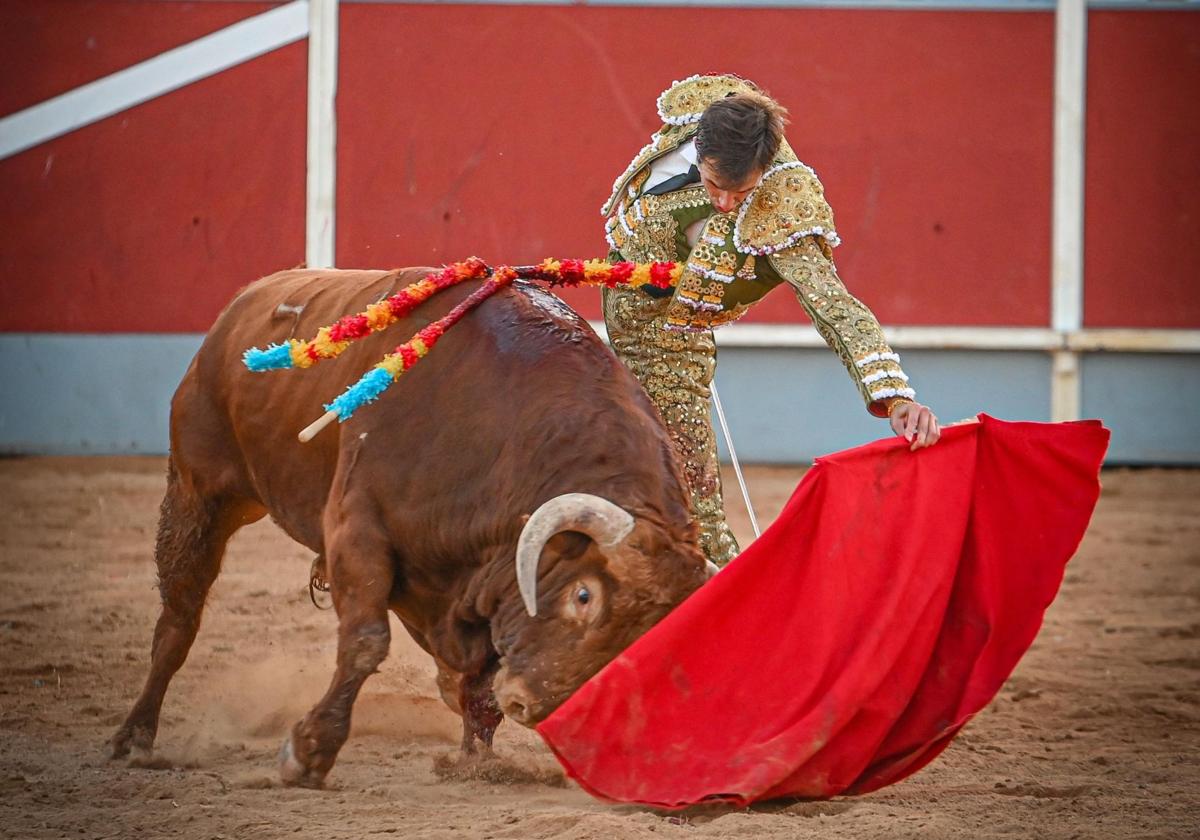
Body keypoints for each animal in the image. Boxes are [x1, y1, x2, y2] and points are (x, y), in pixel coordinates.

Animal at [109, 267, 705, 787]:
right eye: (584, 596)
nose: (535, 706)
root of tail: (242, 304)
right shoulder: (356, 529)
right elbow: (366, 642)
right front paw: (309, 752)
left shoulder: (477, 582)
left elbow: (477, 681)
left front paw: (475, 762)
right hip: (198, 491)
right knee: (179, 618)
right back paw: (134, 738)